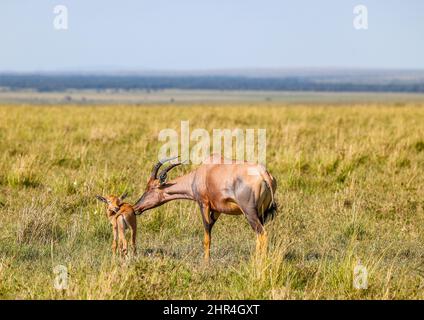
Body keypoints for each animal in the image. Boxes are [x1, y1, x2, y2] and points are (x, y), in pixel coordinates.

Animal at [134, 154, 276, 262]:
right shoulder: (217, 210)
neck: (203, 171)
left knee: (263, 234)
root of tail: (264, 174)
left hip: (249, 213)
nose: (136, 208)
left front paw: (206, 262)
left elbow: (207, 236)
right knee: (258, 236)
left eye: (151, 188)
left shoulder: (204, 204)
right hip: (260, 214)